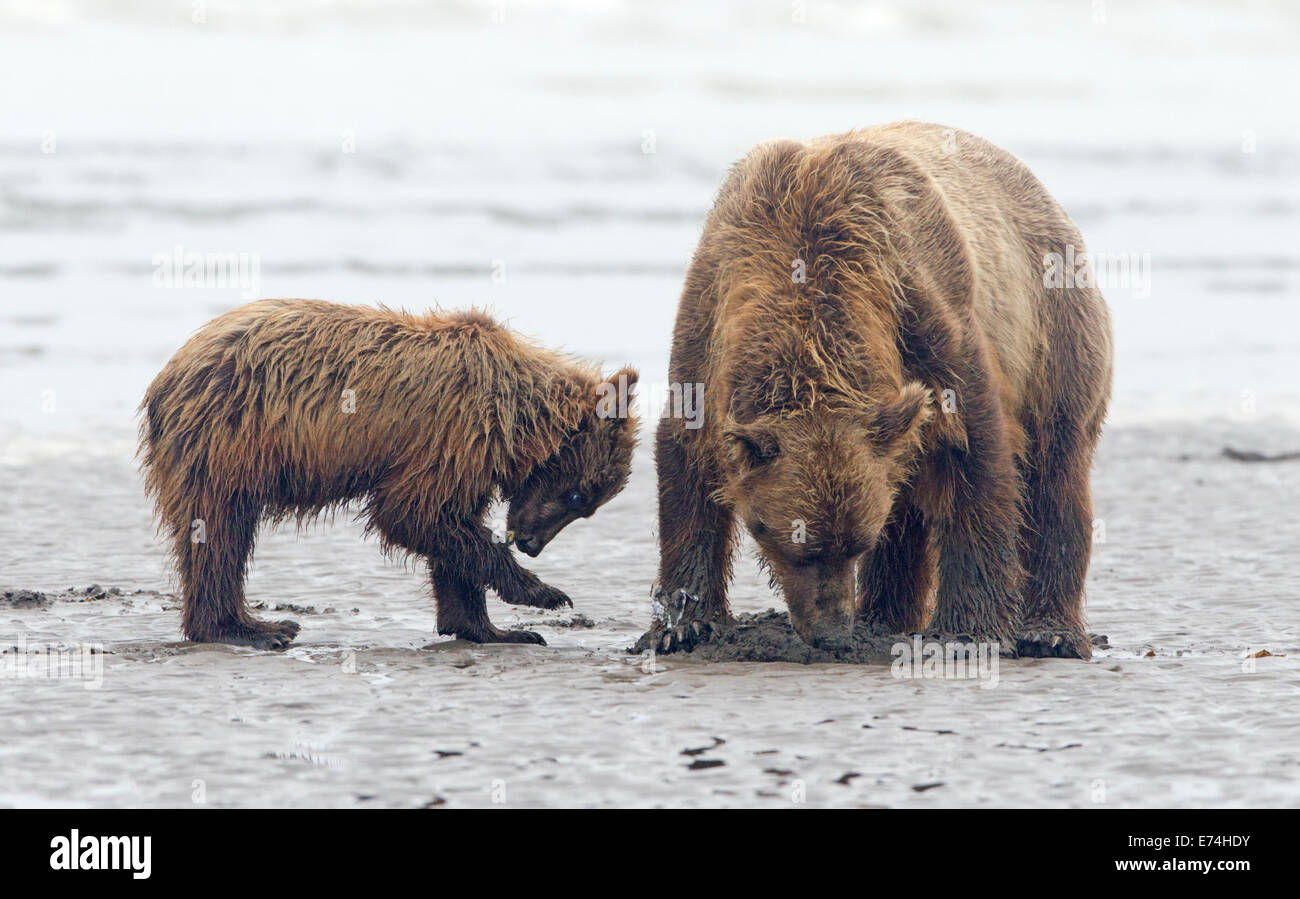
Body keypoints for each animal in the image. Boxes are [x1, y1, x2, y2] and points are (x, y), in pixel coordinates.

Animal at [139, 298, 638, 649]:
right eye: (578, 496)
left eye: (587, 505)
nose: (532, 545)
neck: (518, 419)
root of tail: (165, 377)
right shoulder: (456, 434)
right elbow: (411, 515)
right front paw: (543, 593)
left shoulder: (469, 461)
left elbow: (450, 529)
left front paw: (494, 628)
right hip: (228, 437)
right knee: (219, 531)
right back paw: (255, 628)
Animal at [651, 121, 1112, 659]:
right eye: (798, 546)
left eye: (856, 543)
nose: (832, 632)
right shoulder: (707, 326)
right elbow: (687, 467)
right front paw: (681, 623)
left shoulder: (923, 310)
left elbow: (975, 452)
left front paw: (969, 630)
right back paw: (884, 618)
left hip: (1054, 331)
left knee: (1055, 473)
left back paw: (1051, 629)